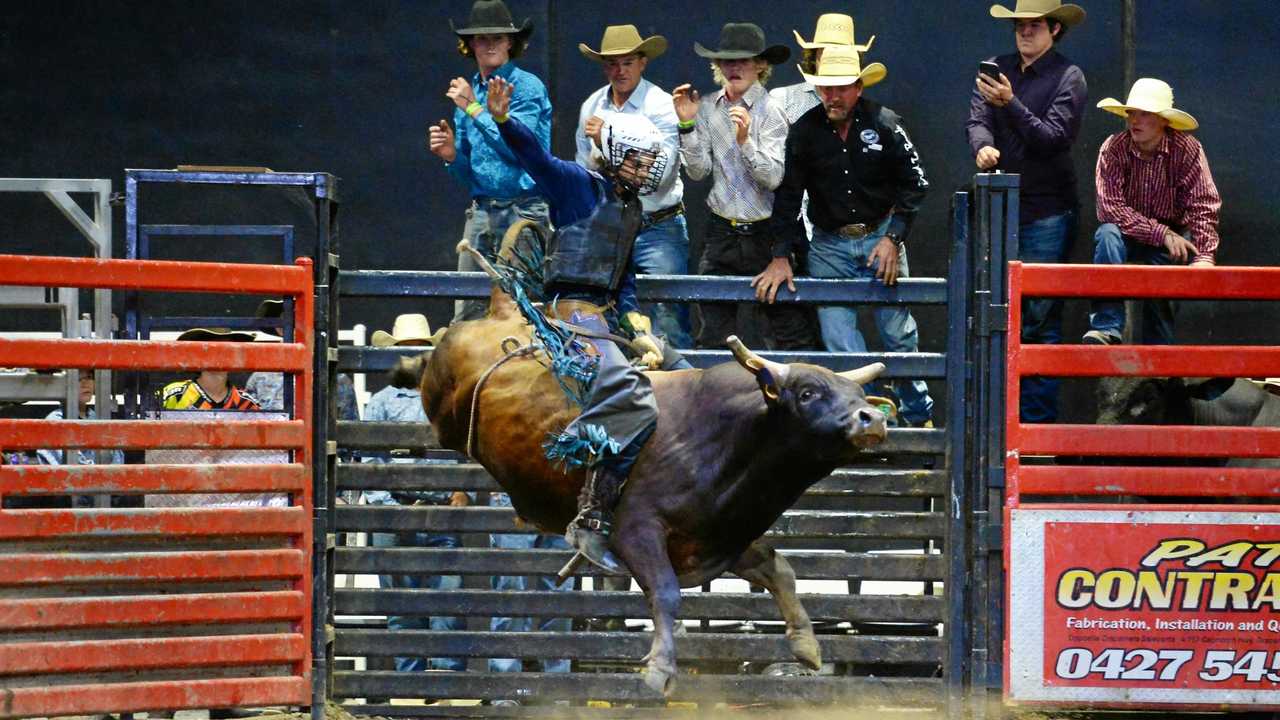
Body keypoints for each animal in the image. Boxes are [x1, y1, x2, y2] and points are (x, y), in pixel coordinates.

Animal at [414, 263, 885, 691]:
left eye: (859, 394)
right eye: (807, 392)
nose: (874, 418)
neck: (728, 438)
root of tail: (506, 310)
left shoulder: (716, 538)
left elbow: (778, 568)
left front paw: (807, 646)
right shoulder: (637, 530)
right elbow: (666, 592)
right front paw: (660, 668)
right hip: (443, 400)